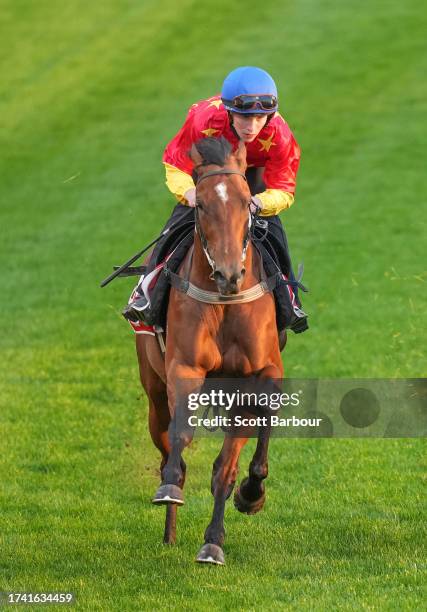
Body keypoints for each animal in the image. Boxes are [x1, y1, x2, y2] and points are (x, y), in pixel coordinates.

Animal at [137, 137, 284, 564]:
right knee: (165, 442)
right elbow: (181, 436)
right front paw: (170, 489)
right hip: (153, 389)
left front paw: (216, 539)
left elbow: (225, 469)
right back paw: (169, 525)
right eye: (200, 204)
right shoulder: (184, 368)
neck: (225, 302)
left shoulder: (254, 380)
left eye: (246, 201)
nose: (229, 274)